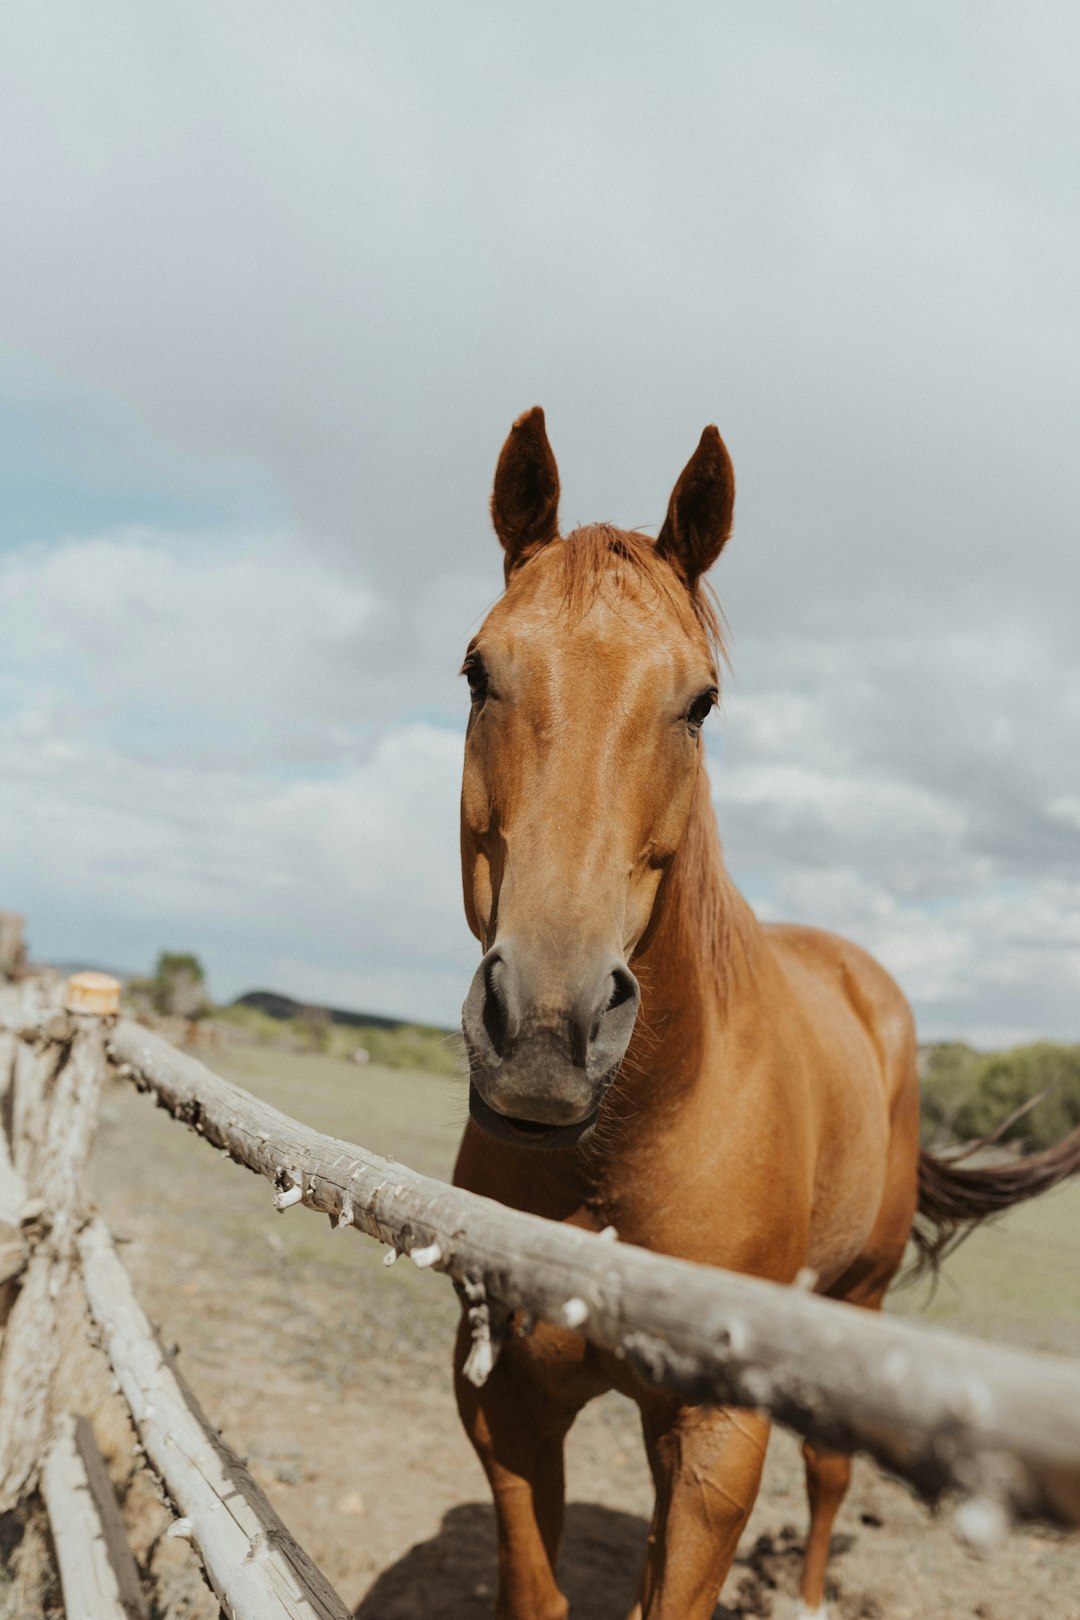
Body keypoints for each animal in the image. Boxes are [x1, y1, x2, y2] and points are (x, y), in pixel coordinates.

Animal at [453, 411, 1080, 1613]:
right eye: (477, 673)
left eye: (699, 703)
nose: (546, 1033)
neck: (629, 1142)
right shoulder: (506, 1407)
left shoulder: (719, 1436)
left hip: (855, 1305)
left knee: (830, 1472)